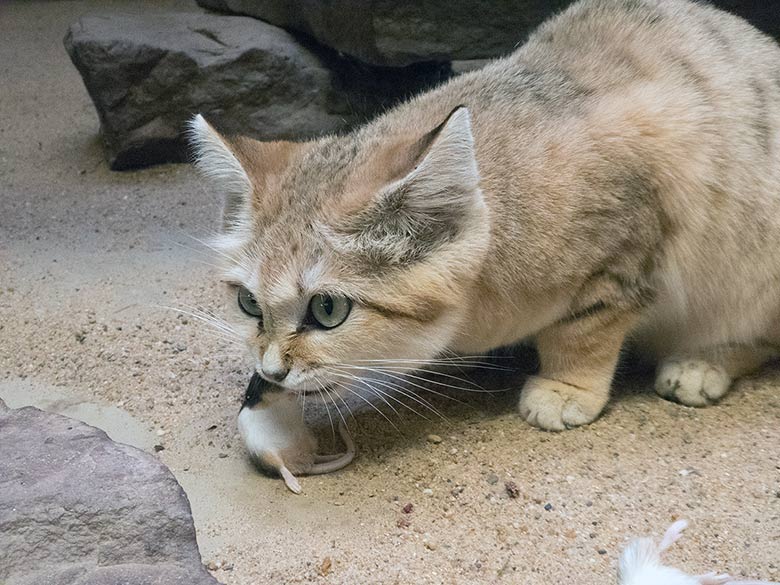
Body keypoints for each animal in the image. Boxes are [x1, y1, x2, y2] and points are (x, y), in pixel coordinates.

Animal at [187, 0, 780, 428]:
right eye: (247, 303)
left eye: (328, 309)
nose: (269, 370)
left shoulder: (624, 245)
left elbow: (584, 330)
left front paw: (568, 387)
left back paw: (703, 363)